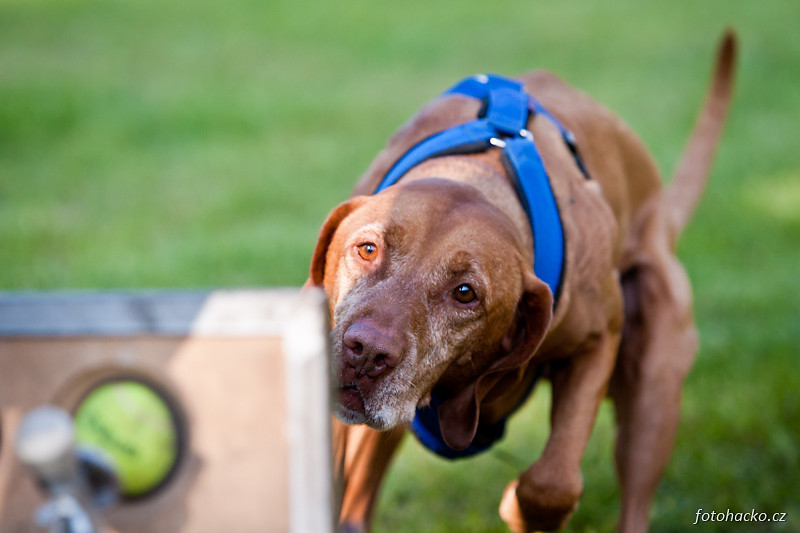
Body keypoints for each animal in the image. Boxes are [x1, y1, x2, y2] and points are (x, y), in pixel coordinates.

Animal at [306, 33, 736, 532]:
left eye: (465, 294)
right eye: (367, 249)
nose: (366, 353)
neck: (483, 176)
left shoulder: (597, 341)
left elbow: (553, 482)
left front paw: (521, 505)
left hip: (654, 387)